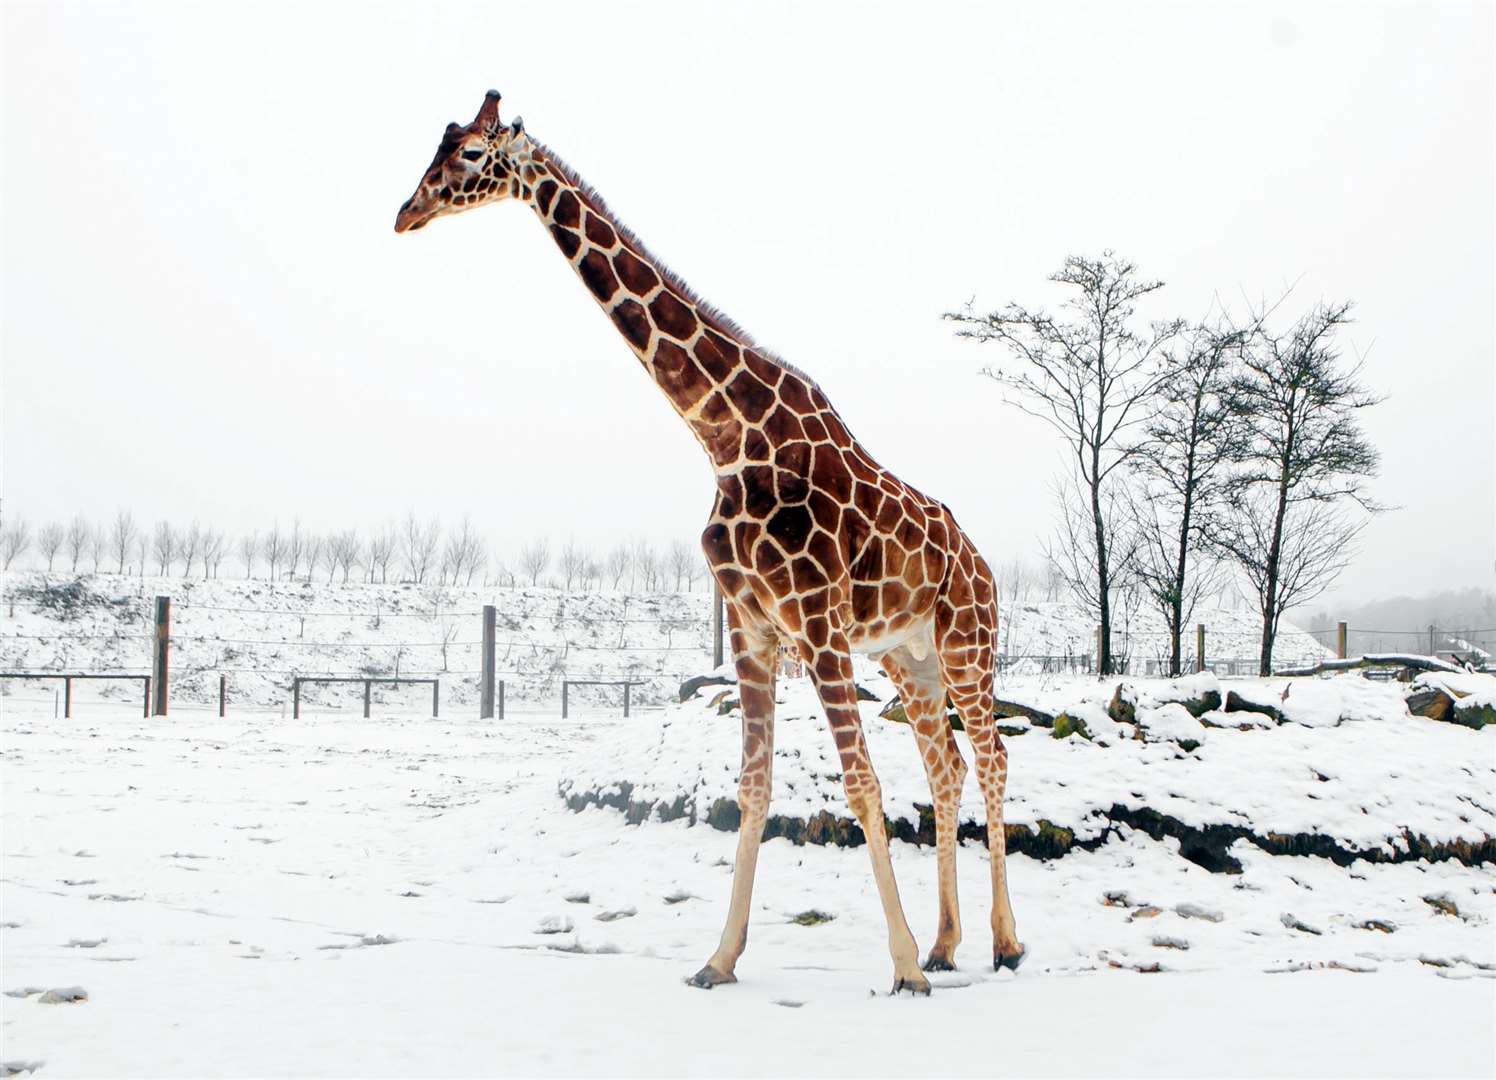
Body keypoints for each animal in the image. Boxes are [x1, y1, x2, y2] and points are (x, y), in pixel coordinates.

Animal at [397, 92, 1023, 993]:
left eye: (474, 152)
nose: (406, 212)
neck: (725, 437)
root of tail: (984, 567)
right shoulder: (756, 629)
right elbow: (754, 789)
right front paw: (720, 959)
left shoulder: (816, 624)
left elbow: (861, 784)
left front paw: (902, 968)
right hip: (910, 658)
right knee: (948, 767)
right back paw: (949, 940)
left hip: (968, 644)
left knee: (993, 758)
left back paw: (1003, 943)